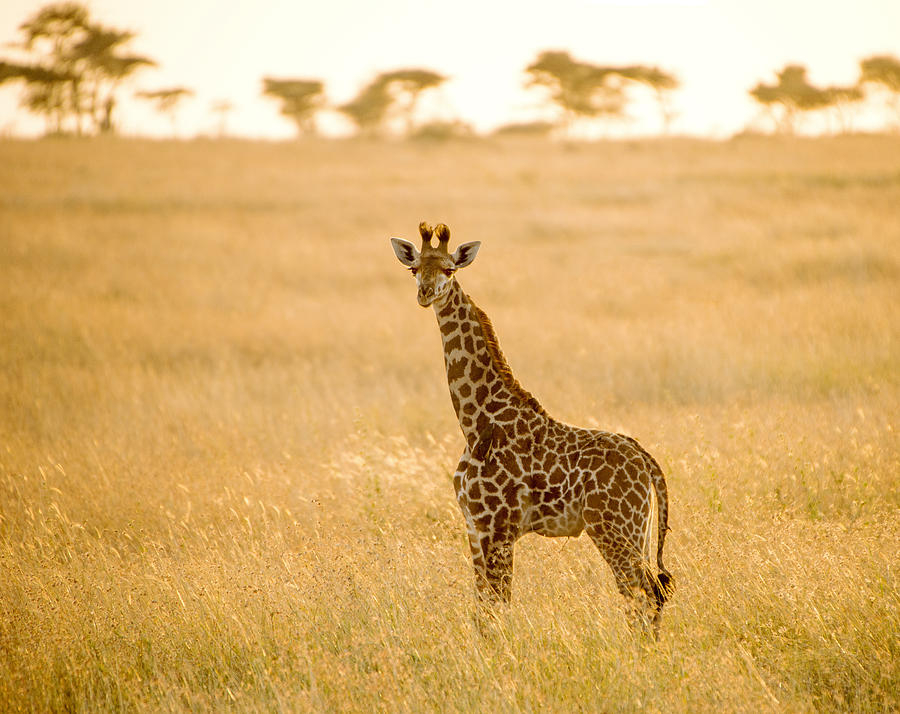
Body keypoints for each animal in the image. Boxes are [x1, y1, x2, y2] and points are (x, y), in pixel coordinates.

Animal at [390, 221, 672, 628]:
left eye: (449, 269)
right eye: (414, 268)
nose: (425, 294)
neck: (475, 422)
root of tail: (647, 462)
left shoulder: (497, 527)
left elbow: (496, 607)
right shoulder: (474, 527)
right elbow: (484, 609)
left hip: (614, 527)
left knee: (645, 594)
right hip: (637, 530)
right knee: (651, 594)